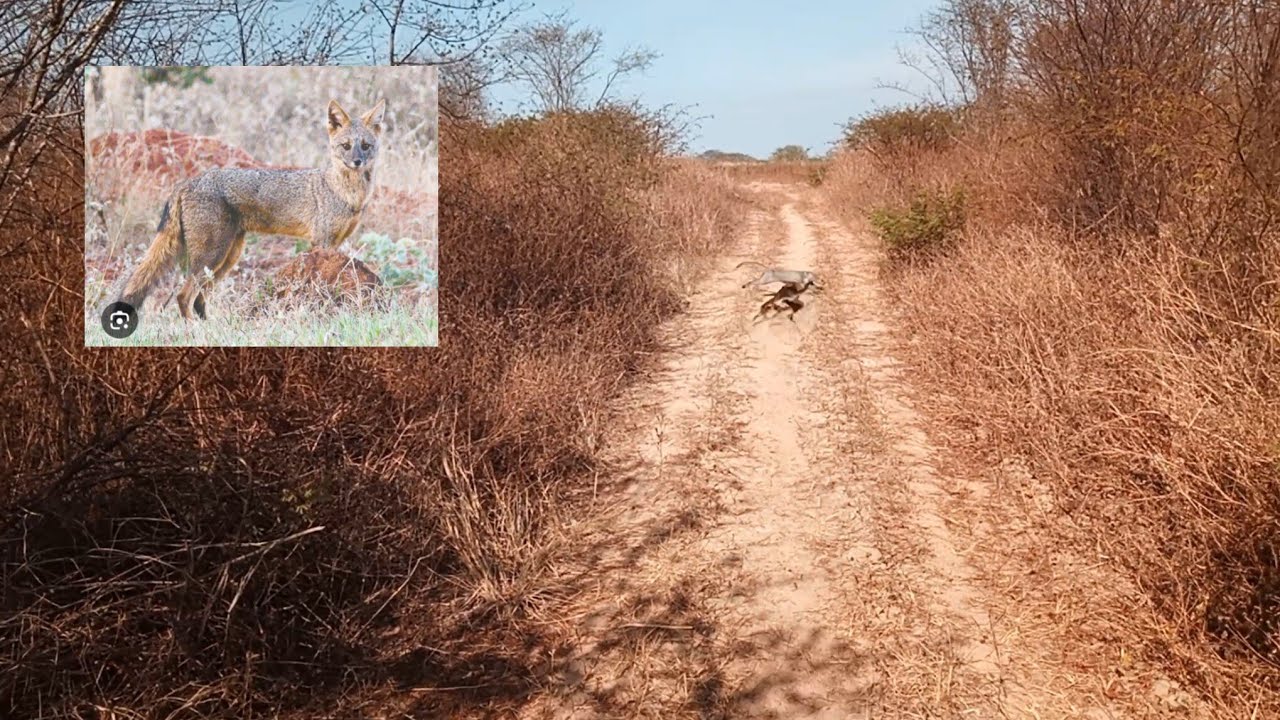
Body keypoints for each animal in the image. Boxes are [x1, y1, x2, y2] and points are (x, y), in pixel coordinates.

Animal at [116, 98, 387, 320]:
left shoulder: (336, 243)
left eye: (365, 145)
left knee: (199, 299)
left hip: (228, 257)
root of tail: (188, 182)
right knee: (184, 296)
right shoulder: (322, 242)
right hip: (212, 256)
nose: (357, 161)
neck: (346, 193)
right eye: (345, 146)